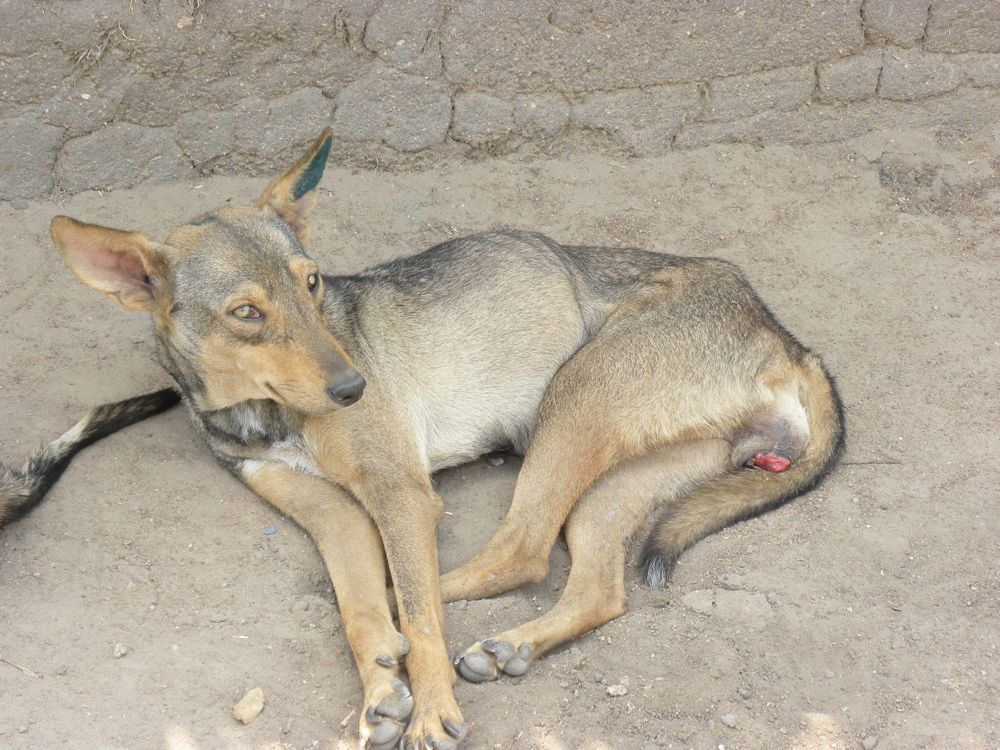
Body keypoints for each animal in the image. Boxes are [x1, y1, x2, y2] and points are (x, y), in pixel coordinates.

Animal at [0, 131, 844, 750]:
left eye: (312, 283)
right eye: (246, 313)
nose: (353, 388)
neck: (265, 413)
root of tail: (786, 335)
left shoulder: (399, 494)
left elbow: (410, 610)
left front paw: (428, 705)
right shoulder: (329, 511)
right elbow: (356, 609)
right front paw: (380, 687)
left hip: (577, 398)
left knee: (504, 557)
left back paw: (442, 610)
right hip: (613, 478)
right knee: (594, 585)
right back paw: (511, 644)